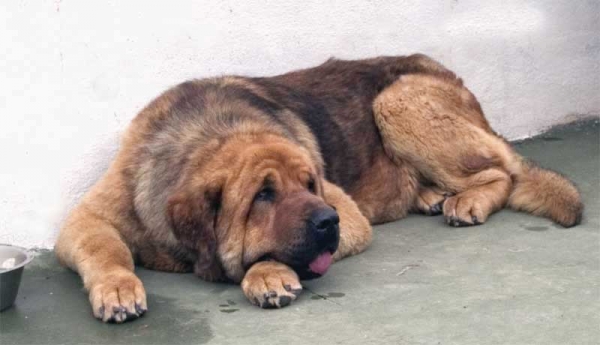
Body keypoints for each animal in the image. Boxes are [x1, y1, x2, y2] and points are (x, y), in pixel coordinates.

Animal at [55, 53, 580, 322]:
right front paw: (118, 287)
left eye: (309, 183)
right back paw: (431, 196)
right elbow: (105, 249)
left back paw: (465, 199)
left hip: (397, 100)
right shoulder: (87, 219)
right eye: (263, 195)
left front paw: (266, 274)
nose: (328, 221)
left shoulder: (349, 214)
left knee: (503, 173)